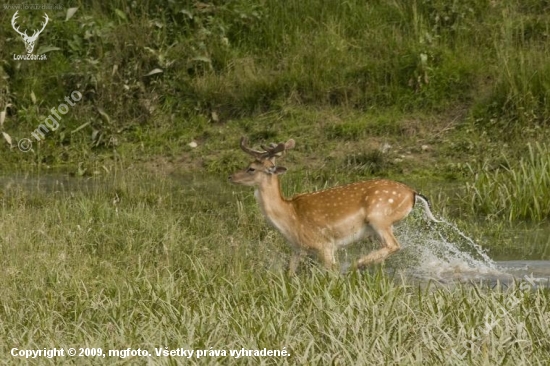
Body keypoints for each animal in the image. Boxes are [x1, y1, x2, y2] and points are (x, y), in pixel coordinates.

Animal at [230, 137, 444, 274]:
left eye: (251, 168)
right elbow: (289, 273)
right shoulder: (298, 249)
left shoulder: (324, 244)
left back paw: (357, 264)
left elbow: (330, 272)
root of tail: (413, 193)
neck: (289, 218)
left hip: (379, 216)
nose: (231, 177)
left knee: (394, 245)